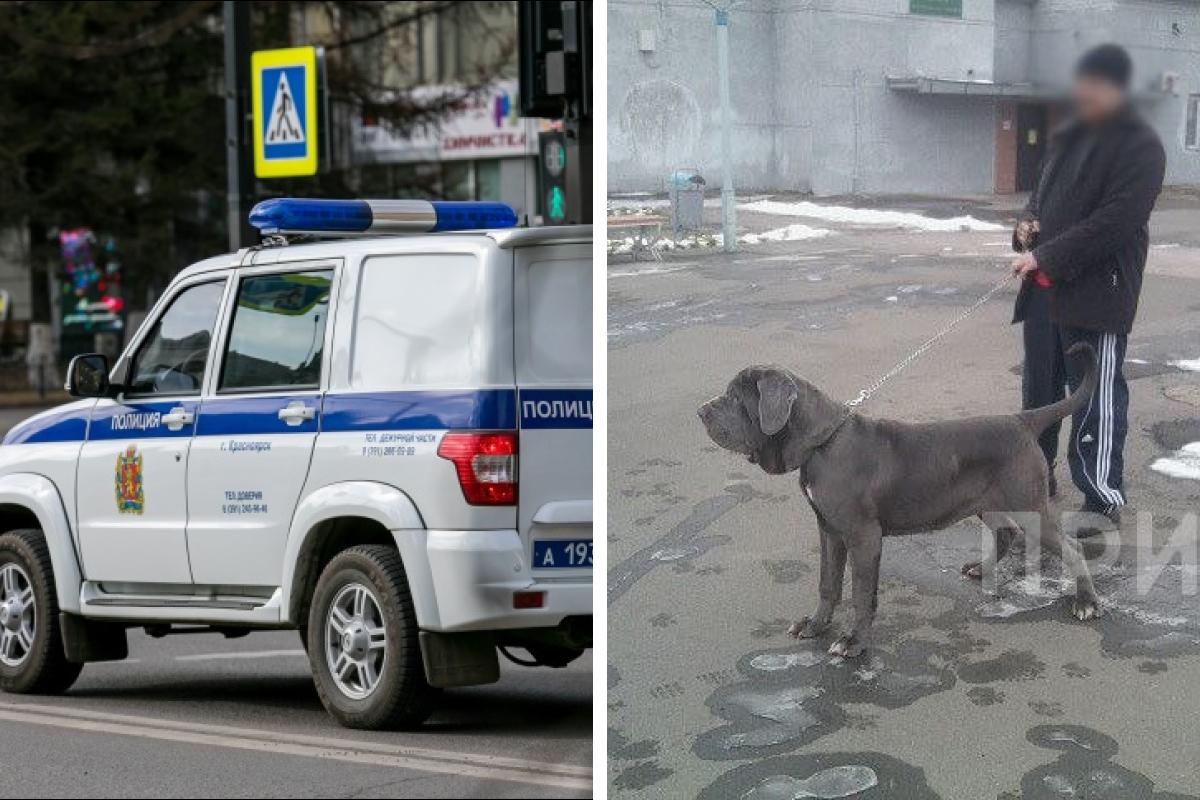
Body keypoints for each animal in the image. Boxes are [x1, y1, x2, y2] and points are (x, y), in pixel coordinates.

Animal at [700, 343, 1099, 657]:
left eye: (736, 397)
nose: (700, 411)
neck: (823, 443)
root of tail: (1022, 420)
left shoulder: (862, 535)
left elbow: (862, 593)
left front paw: (854, 643)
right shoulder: (829, 528)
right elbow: (828, 583)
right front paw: (815, 625)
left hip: (1030, 507)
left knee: (1070, 547)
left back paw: (1086, 602)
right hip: (986, 501)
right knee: (1006, 532)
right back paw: (981, 569)